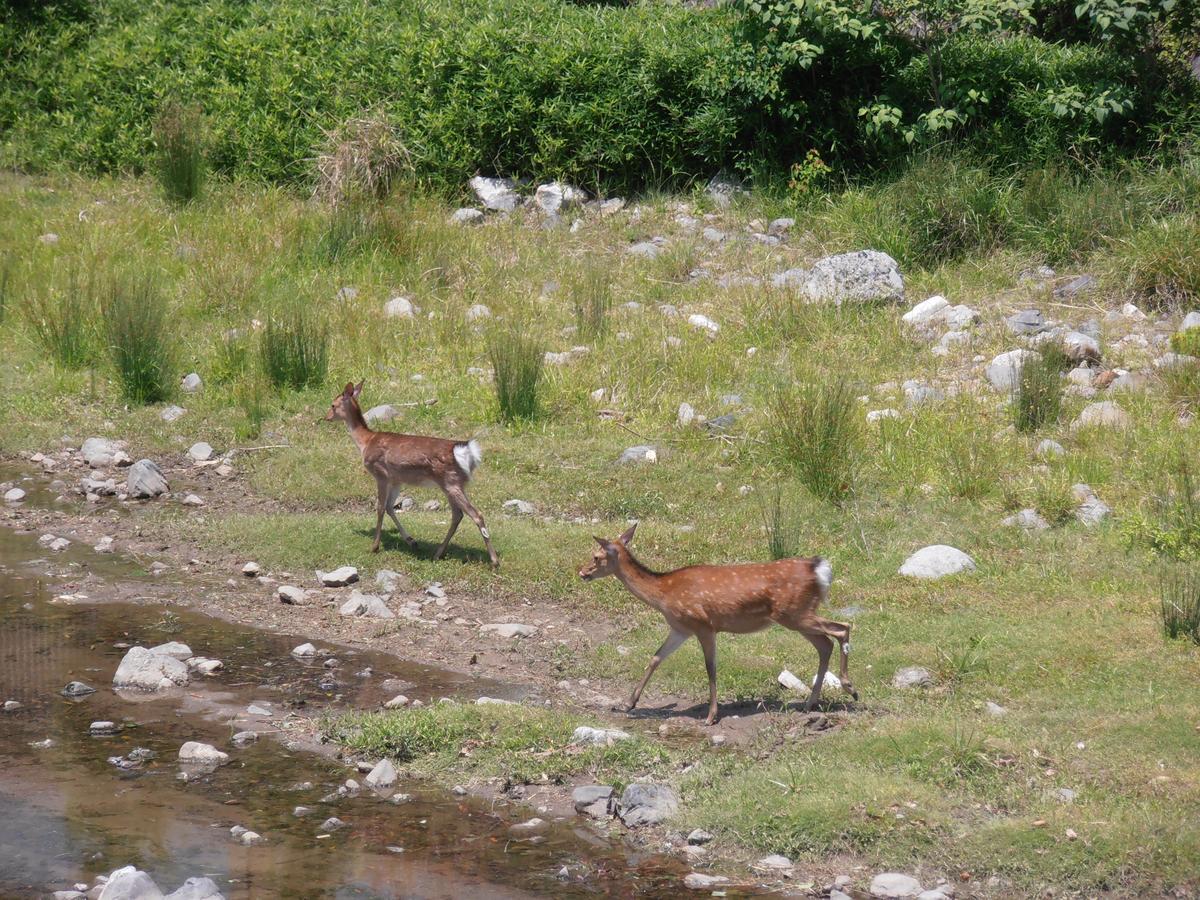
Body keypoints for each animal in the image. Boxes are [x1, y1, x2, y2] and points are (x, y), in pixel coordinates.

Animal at [321, 381, 499, 566]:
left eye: (333, 405)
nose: (326, 417)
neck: (366, 442)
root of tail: (467, 451)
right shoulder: (396, 480)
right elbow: (390, 507)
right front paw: (411, 541)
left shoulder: (381, 474)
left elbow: (380, 508)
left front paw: (374, 547)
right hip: (453, 484)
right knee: (457, 515)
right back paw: (438, 553)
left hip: (451, 482)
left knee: (476, 514)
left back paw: (494, 561)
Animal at [578, 525, 854, 729]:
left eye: (597, 556)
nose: (582, 572)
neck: (664, 594)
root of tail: (820, 570)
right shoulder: (680, 628)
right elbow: (655, 658)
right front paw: (628, 704)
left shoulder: (703, 625)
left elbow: (710, 668)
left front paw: (711, 716)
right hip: (797, 616)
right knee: (825, 644)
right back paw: (810, 703)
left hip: (794, 614)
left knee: (842, 628)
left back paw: (849, 688)